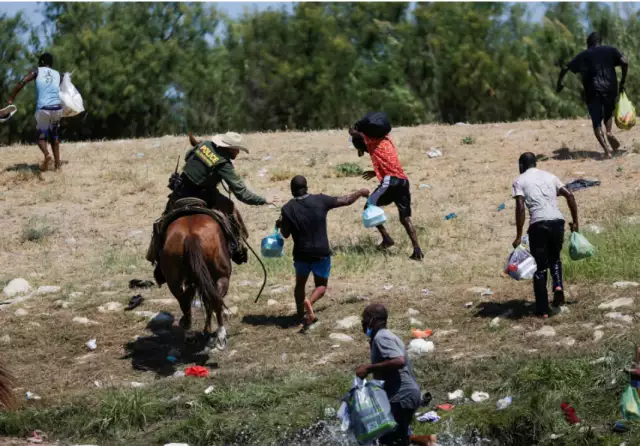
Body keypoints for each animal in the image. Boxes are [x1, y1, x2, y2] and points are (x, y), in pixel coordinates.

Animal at [160, 214, 232, 350]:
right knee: (214, 301)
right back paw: (219, 335)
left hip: (176, 283)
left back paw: (191, 334)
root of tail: (191, 235)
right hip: (221, 277)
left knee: (186, 302)